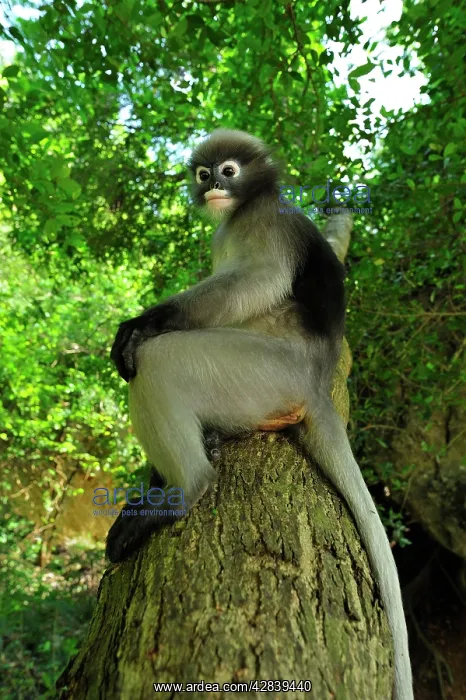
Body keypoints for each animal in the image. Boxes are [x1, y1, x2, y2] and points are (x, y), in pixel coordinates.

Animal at [107, 130, 413, 700]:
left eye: (228, 171)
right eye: (204, 174)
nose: (213, 187)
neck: (242, 209)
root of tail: (315, 381)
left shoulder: (267, 223)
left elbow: (258, 280)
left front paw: (140, 325)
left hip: (260, 373)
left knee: (159, 362)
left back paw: (183, 489)